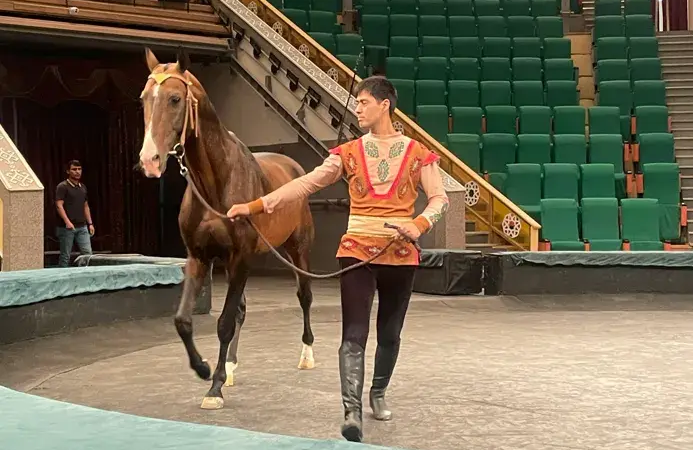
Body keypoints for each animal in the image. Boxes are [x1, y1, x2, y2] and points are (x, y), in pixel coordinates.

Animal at [137, 48, 317, 410]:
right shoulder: (200, 257)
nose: (149, 160)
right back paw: (231, 364)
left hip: (297, 249)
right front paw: (206, 369)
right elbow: (184, 321)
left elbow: (223, 322)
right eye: (144, 99)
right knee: (242, 312)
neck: (215, 183)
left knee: (304, 296)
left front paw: (215, 387)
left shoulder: (240, 258)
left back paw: (306, 354)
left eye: (175, 99)